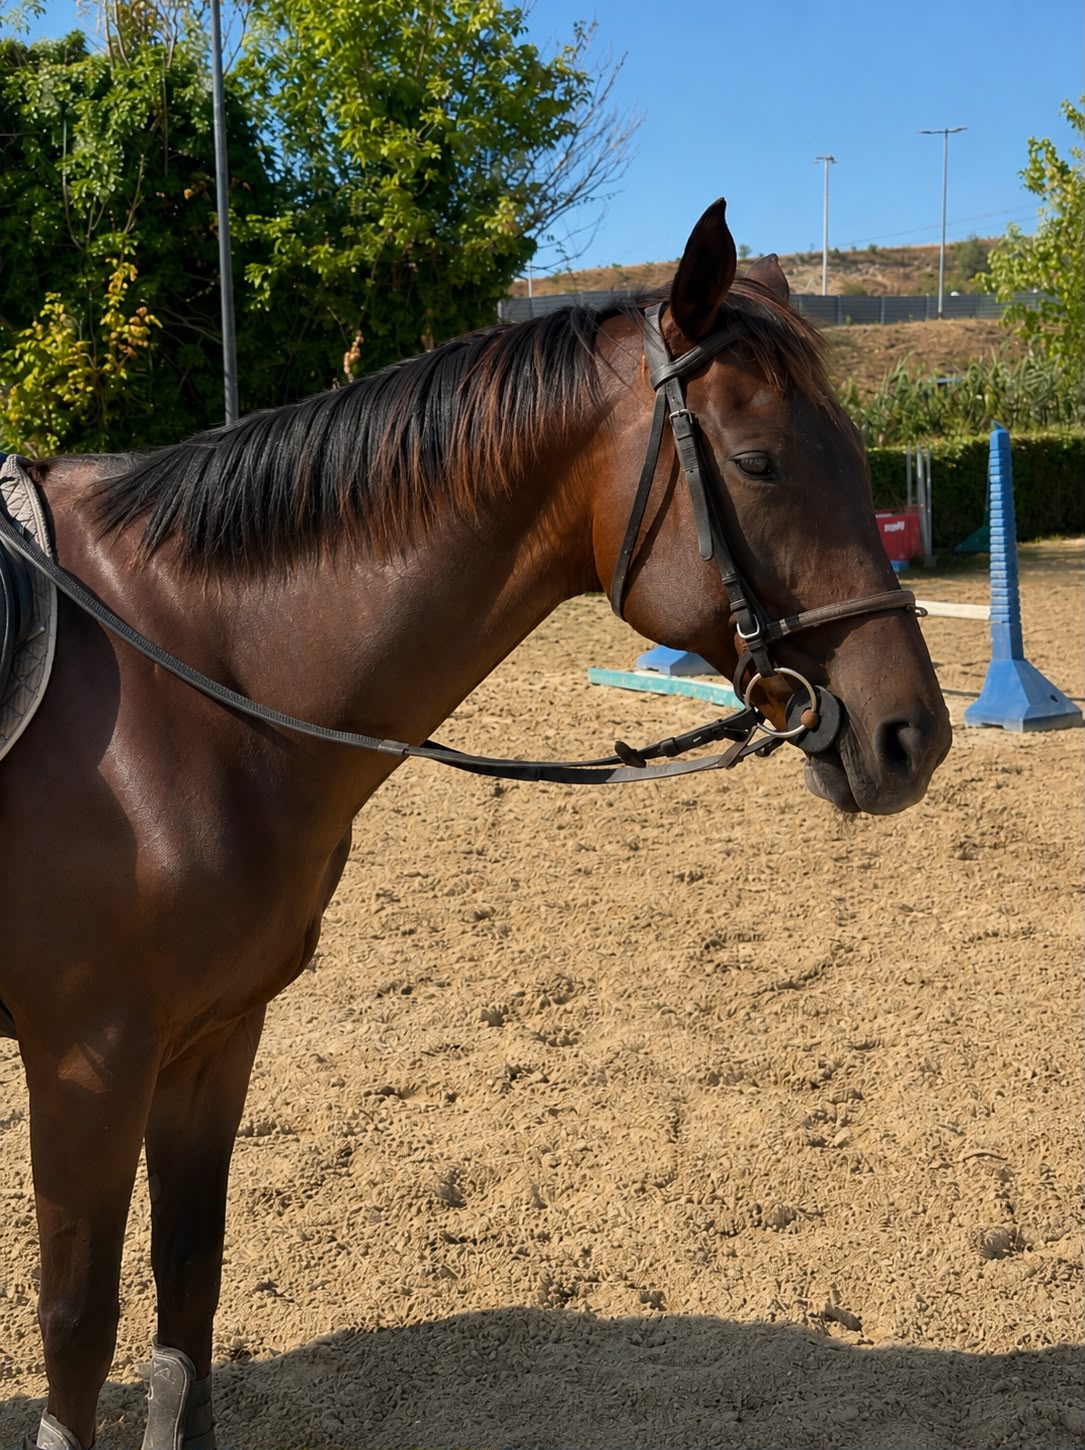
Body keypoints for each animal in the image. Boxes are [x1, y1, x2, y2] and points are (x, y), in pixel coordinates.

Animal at [0, 199, 951, 1449]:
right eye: (757, 462)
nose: (910, 734)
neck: (183, 682)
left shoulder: (212, 1038)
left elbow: (188, 1281)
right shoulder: (86, 1063)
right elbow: (76, 1326)